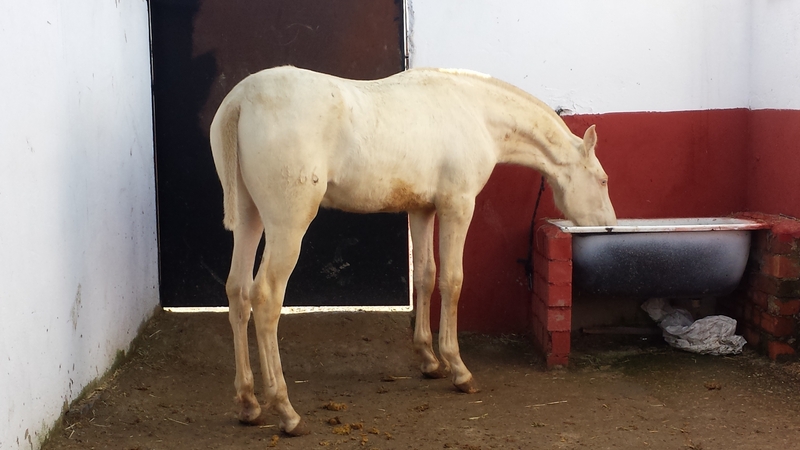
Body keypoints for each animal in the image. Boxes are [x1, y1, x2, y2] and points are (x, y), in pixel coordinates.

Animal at [209, 66, 617, 435]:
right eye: (602, 180)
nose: (609, 224)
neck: (475, 110)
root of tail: (241, 100)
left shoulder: (422, 210)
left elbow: (426, 276)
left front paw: (429, 360)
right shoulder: (457, 206)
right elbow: (452, 280)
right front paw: (458, 368)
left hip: (249, 218)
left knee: (238, 292)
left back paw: (248, 404)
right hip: (287, 225)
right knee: (265, 299)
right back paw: (287, 412)